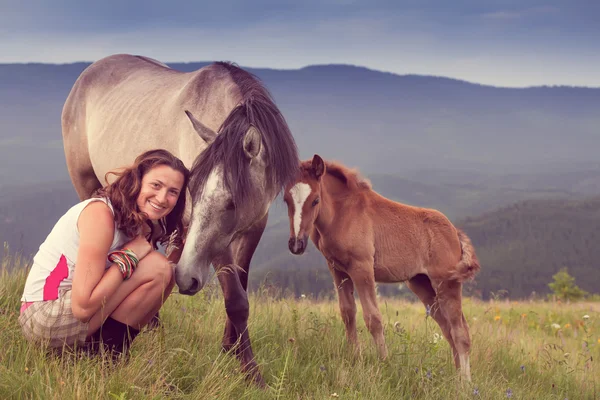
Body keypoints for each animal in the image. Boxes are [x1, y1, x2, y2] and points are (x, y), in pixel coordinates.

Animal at [284, 154, 480, 382]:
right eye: (286, 200)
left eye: (316, 199)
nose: (296, 245)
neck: (343, 213)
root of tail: (455, 232)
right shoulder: (337, 269)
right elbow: (348, 313)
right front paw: (355, 359)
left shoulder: (362, 268)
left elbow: (373, 318)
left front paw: (384, 364)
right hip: (421, 283)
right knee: (447, 329)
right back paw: (454, 378)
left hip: (446, 283)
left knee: (460, 331)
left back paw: (464, 383)